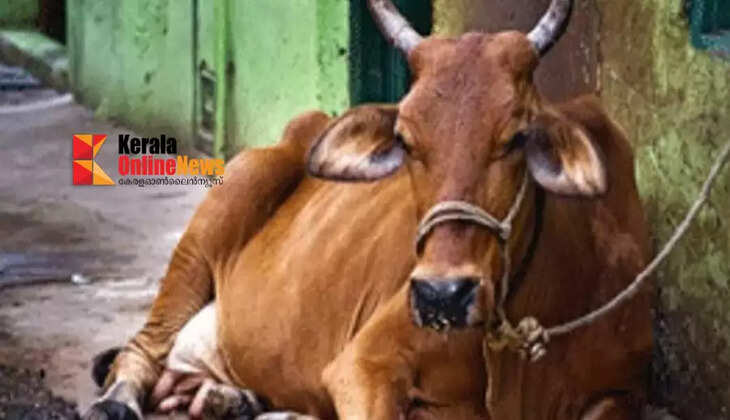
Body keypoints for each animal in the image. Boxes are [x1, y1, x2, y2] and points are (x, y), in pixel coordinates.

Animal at [83, 0, 653, 419]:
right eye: (406, 139)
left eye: (516, 137)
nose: (442, 296)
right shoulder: (364, 365)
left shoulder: (621, 393)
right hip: (226, 202)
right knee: (142, 348)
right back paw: (118, 402)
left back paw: (232, 399)